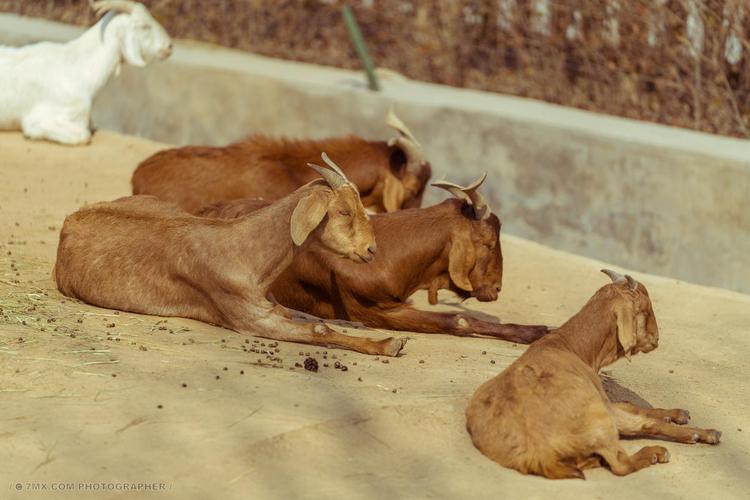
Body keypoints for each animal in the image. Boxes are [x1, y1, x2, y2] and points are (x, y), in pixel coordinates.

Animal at [55, 152, 408, 356]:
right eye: (344, 211)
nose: (371, 250)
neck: (246, 252)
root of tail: (71, 219)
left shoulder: (271, 305)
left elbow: (308, 316)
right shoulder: (250, 319)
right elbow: (315, 330)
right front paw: (390, 343)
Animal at [464, 270, 724, 480]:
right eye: (645, 309)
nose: (656, 338)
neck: (569, 346)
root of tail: (537, 453)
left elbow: (633, 406)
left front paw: (678, 414)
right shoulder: (607, 408)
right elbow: (644, 422)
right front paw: (702, 433)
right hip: (601, 421)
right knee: (621, 464)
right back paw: (654, 453)